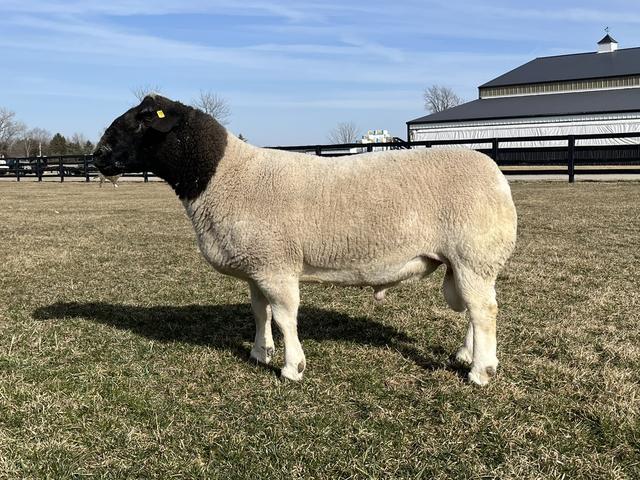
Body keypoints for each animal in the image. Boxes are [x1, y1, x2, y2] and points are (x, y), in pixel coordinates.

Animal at [94, 94, 517, 386]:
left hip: (474, 253)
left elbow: (284, 316)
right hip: (464, 261)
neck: (224, 176)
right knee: (475, 310)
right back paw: (465, 355)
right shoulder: (258, 265)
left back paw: (481, 371)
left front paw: (292, 367)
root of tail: (495, 172)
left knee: (484, 310)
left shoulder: (277, 265)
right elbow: (260, 312)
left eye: (140, 122)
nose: (96, 157)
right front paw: (260, 353)